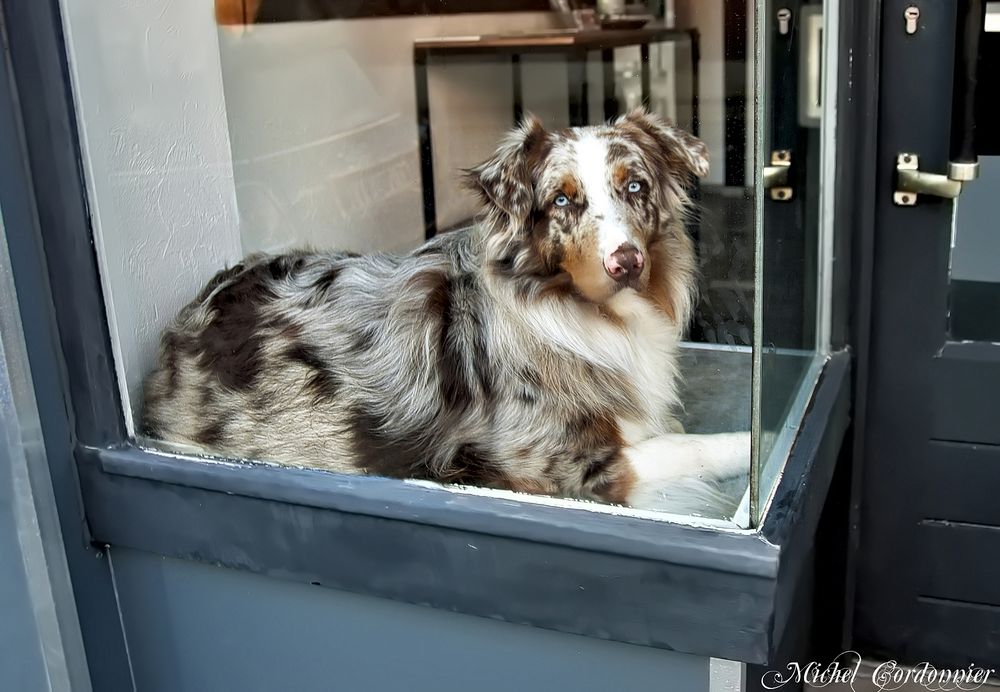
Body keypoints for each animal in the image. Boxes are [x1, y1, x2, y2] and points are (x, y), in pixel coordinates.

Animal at [143, 109, 752, 520]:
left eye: (636, 187)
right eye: (561, 200)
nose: (626, 262)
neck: (581, 312)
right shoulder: (553, 463)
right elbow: (690, 447)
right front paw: (748, 440)